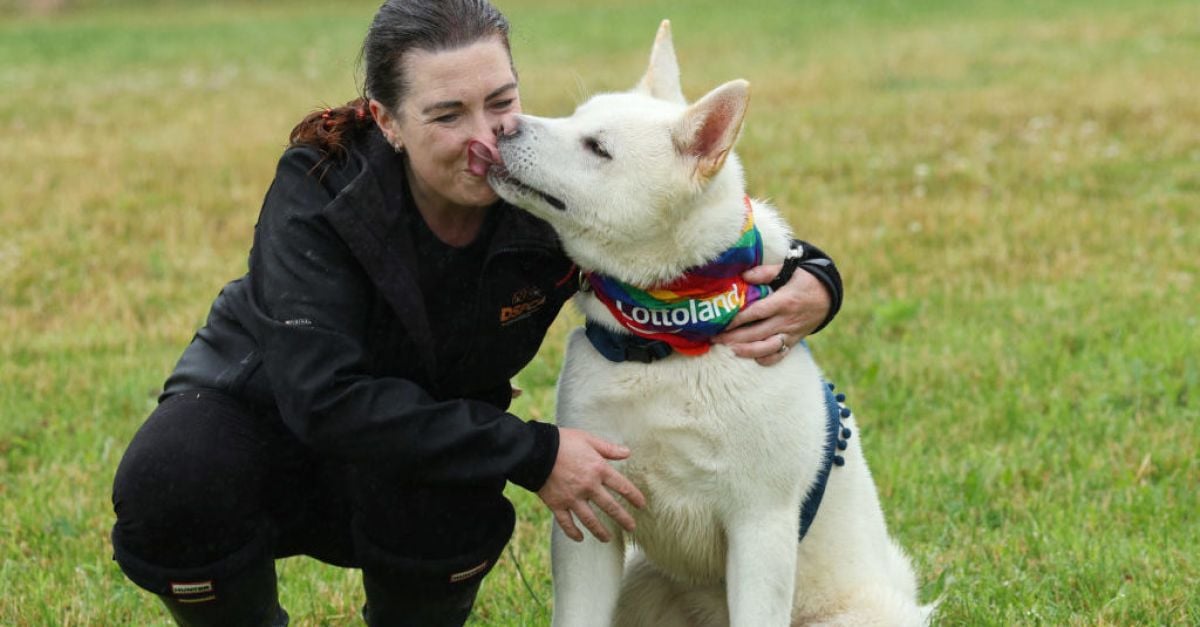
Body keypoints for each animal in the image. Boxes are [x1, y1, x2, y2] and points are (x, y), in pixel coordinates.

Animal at [489, 20, 936, 624]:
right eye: (574, 117)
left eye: (598, 147)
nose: (504, 124)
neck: (671, 338)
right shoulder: (590, 515)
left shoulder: (760, 525)